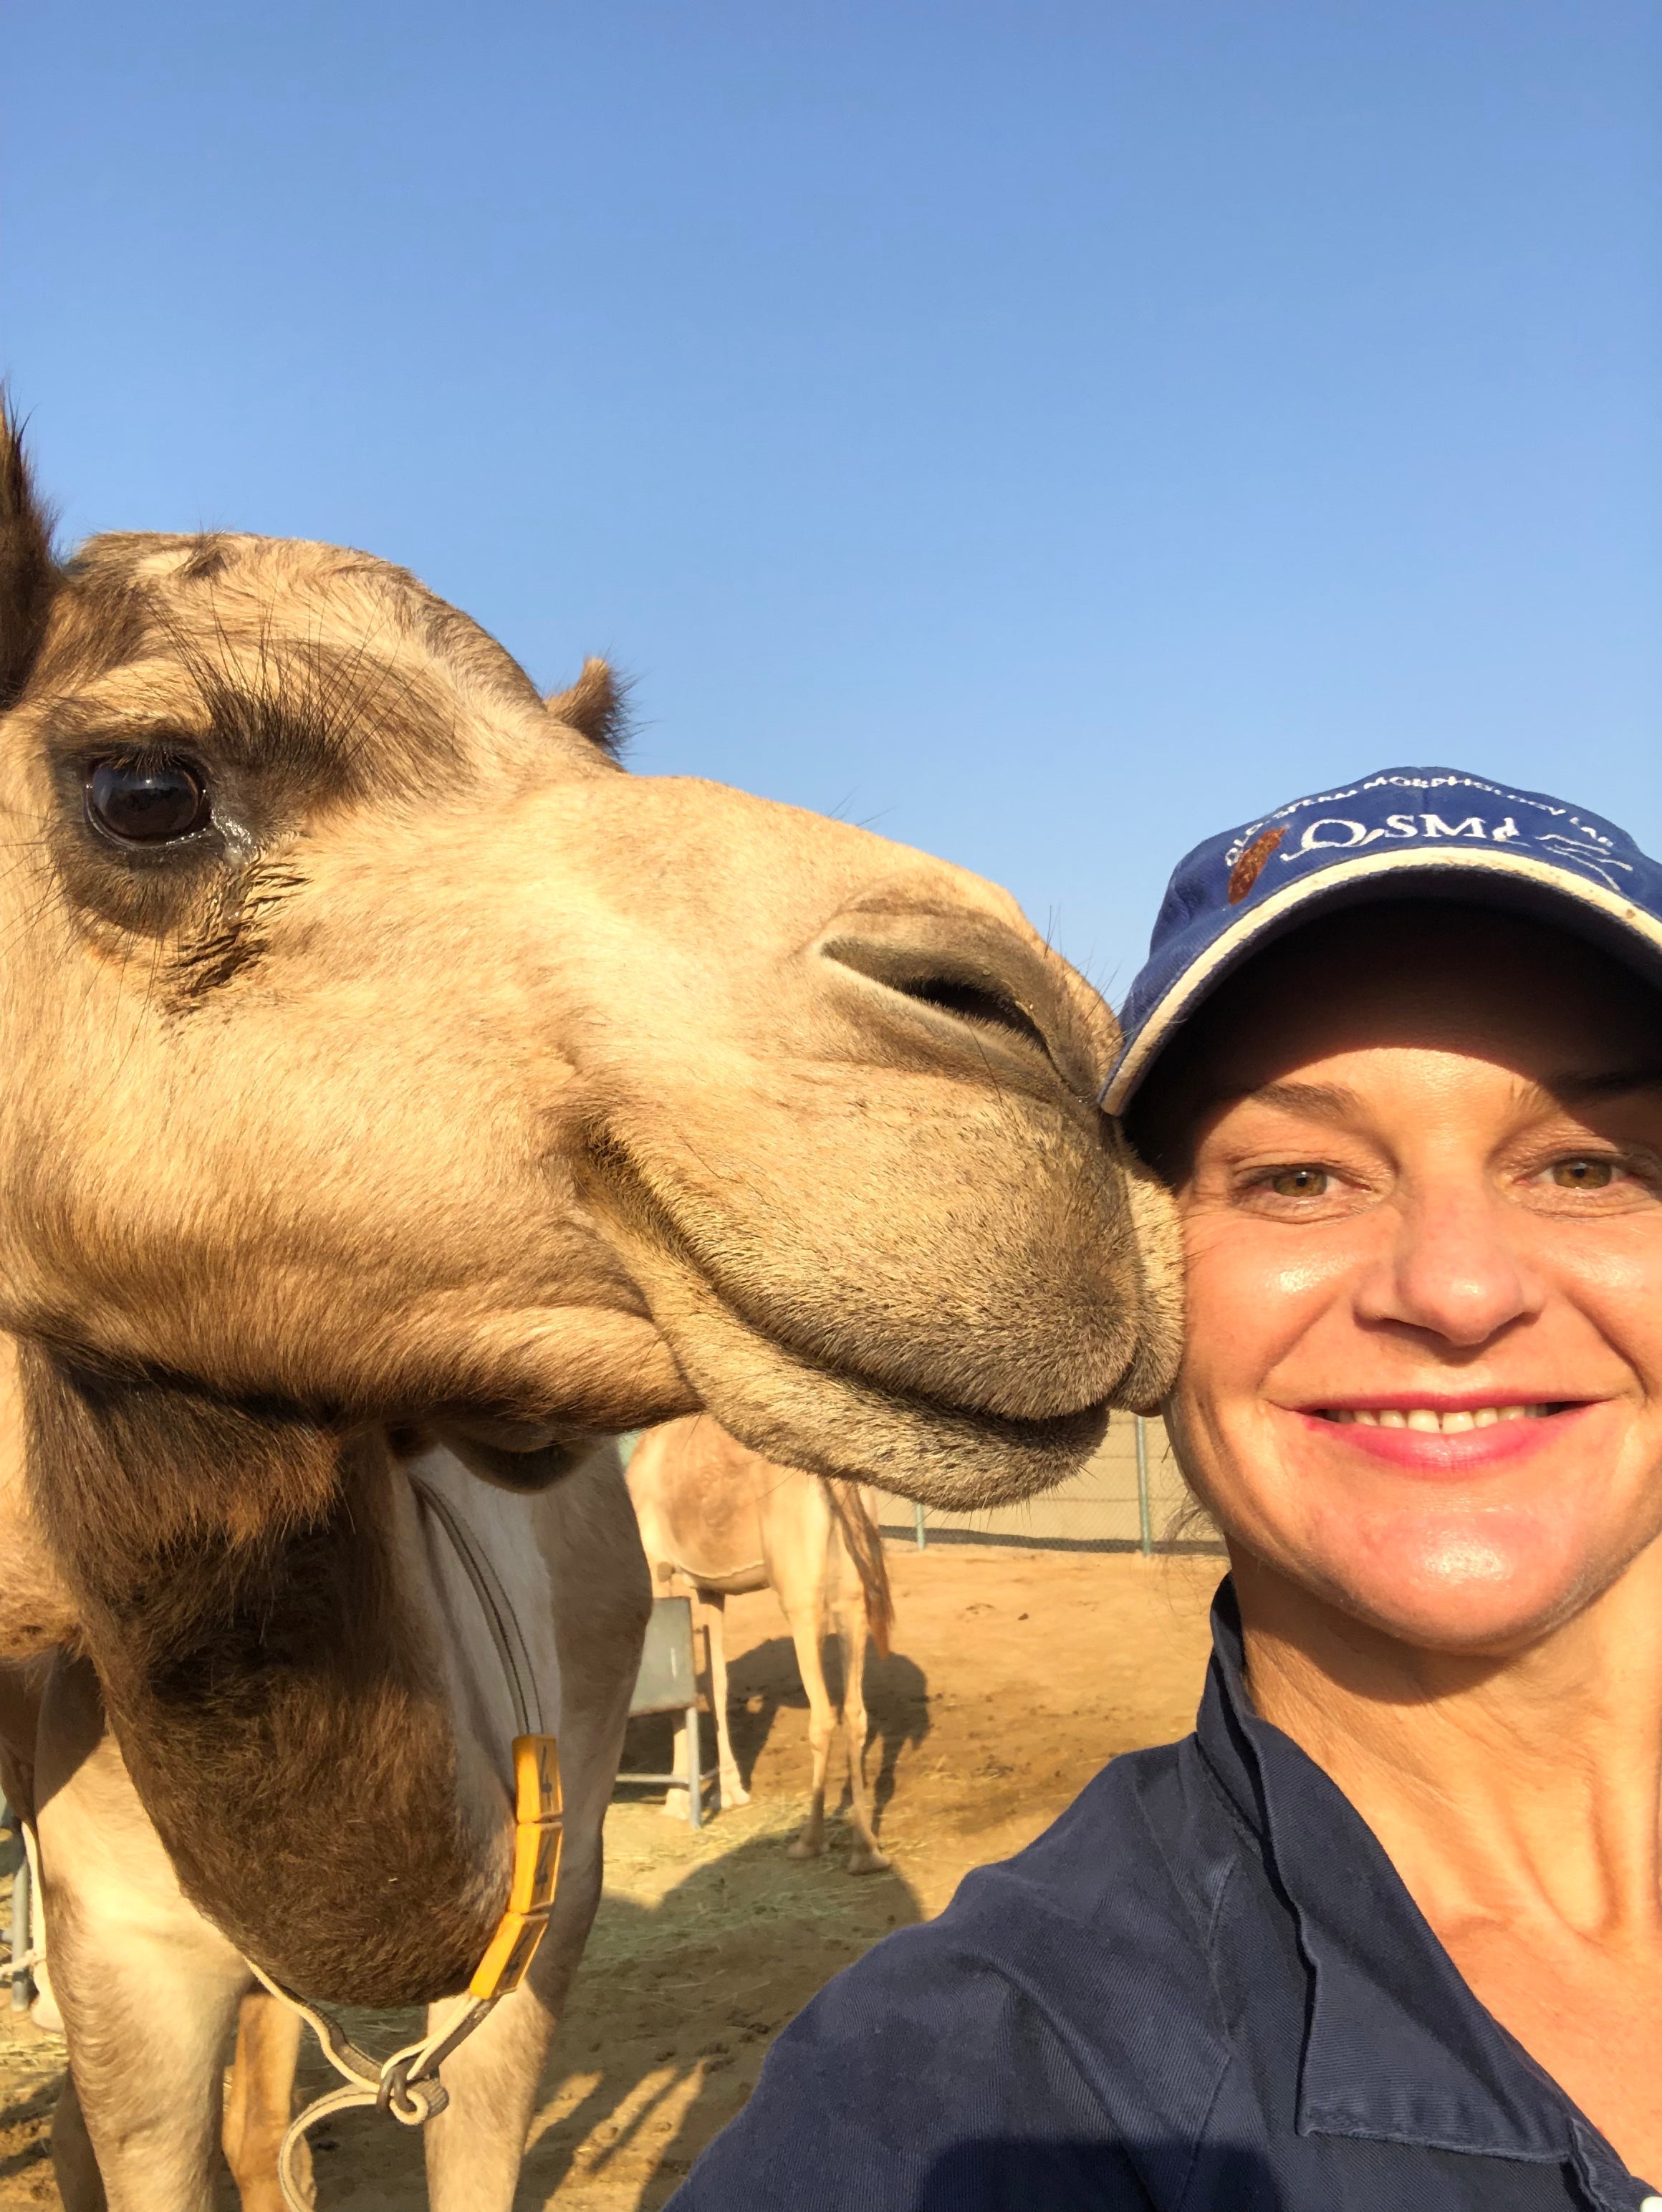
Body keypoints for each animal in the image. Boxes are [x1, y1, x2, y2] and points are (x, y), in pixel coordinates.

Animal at [628, 1417, 895, 1872]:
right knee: (856, 1711)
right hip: (853, 1587)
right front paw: (731, 1792)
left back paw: (808, 1841)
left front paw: (676, 1802)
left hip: (800, 1591)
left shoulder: (655, 1565)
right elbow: (715, 1684)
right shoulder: (710, 1588)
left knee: (824, 1712)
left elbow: (675, 1694)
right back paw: (866, 1851)